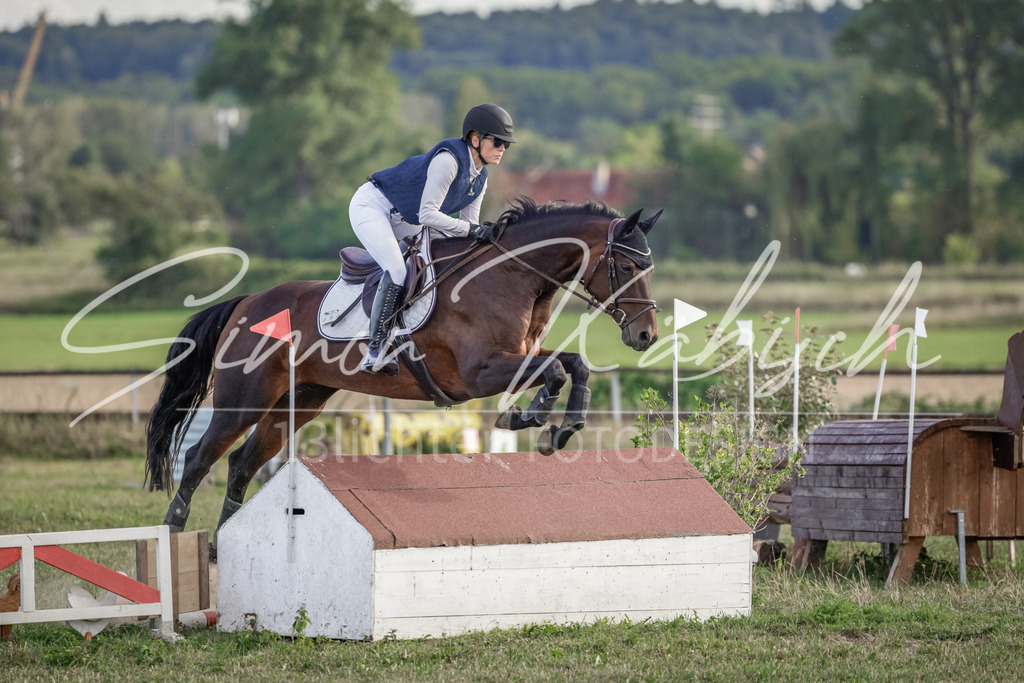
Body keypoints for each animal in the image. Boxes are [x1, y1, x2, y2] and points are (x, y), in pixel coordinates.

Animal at [145, 198, 662, 543]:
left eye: (648, 267)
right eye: (626, 266)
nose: (646, 336)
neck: (510, 276)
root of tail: (247, 302)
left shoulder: (516, 359)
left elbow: (574, 364)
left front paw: (561, 428)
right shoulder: (480, 372)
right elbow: (555, 370)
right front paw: (530, 418)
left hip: (298, 403)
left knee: (241, 464)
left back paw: (222, 547)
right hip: (245, 400)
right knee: (198, 459)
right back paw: (174, 533)